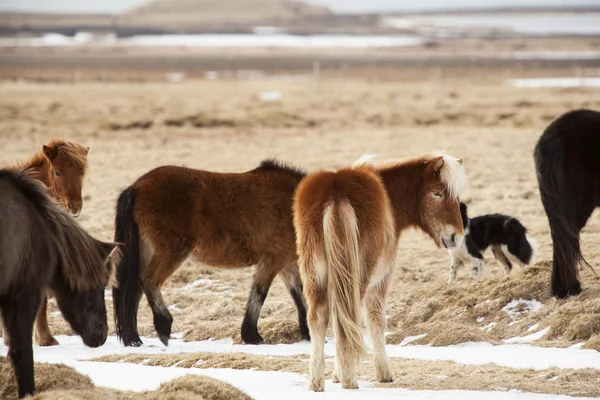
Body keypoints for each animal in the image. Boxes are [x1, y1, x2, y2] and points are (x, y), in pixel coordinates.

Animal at [112, 159, 310, 346]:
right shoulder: (273, 260)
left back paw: (134, 340)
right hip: (172, 251)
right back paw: (163, 324)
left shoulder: (287, 264)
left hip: (147, 251)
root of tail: (137, 186)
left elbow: (300, 296)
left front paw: (308, 334)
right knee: (148, 280)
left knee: (134, 289)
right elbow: (260, 293)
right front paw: (253, 336)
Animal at [292, 152, 466, 390]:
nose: (457, 236)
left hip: (315, 277)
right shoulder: (381, 281)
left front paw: (335, 375)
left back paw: (317, 382)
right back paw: (349, 379)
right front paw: (383, 373)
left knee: (319, 318)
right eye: (437, 192)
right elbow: (376, 319)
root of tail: (336, 191)